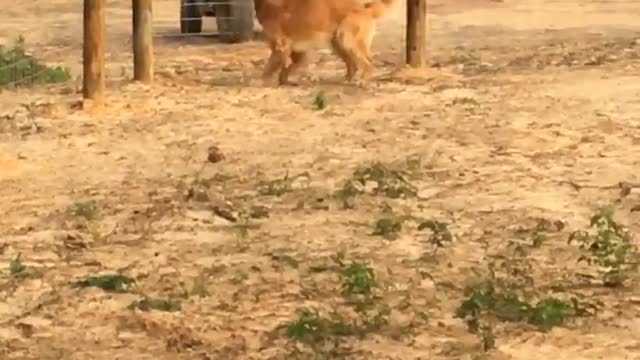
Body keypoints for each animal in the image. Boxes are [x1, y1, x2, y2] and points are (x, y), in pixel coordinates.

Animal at [254, 0, 398, 86]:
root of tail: (364, 7)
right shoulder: (294, 51)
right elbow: (288, 68)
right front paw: (284, 81)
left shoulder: (280, 47)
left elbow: (269, 69)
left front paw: (260, 82)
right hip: (338, 44)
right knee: (353, 65)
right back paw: (346, 79)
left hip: (347, 41)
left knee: (368, 62)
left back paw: (362, 80)